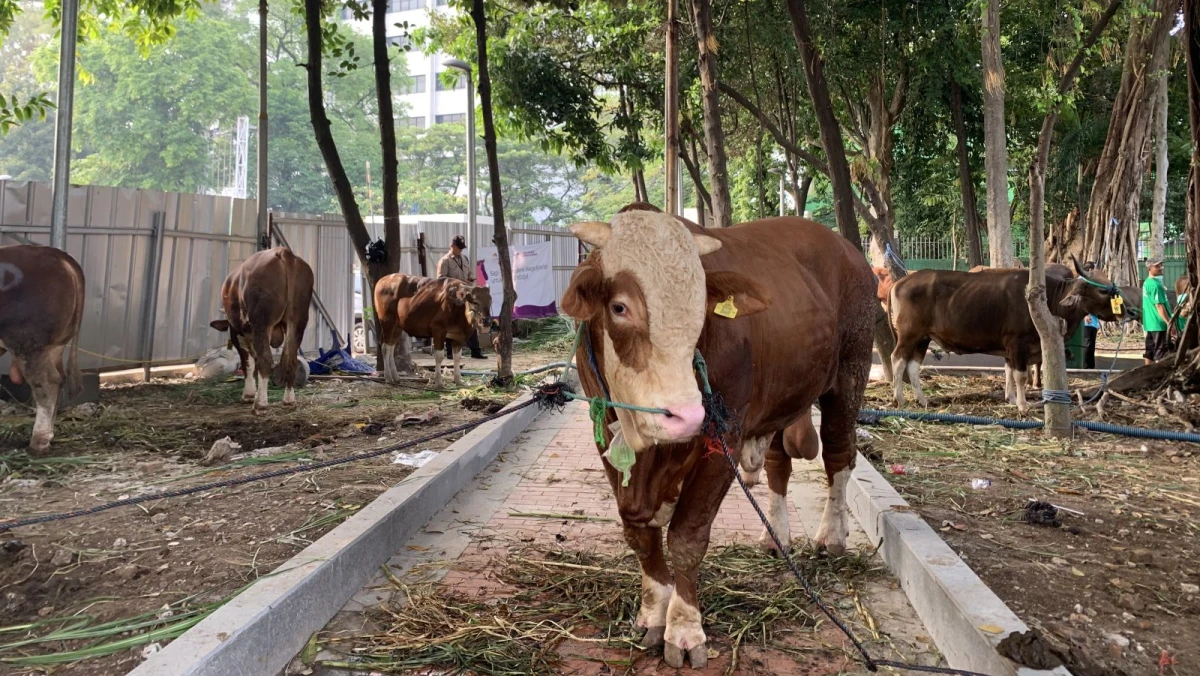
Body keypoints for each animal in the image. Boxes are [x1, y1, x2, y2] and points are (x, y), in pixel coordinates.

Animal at [0, 243, 85, 453]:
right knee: (59, 379)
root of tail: (54, 253)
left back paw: (38, 442)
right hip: (54, 346)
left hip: (27, 342)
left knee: (46, 383)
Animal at [210, 247, 314, 413]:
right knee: (290, 358)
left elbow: (248, 362)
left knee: (265, 360)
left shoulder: (238, 332)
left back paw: (260, 404)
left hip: (261, 321)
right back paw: (289, 401)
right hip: (298, 321)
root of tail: (283, 251)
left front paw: (248, 395)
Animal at [561, 204, 873, 667]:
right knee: (779, 463)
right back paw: (775, 536)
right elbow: (639, 533)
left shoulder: (725, 434)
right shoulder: (603, 429)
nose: (686, 415)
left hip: (850, 374)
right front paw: (653, 612)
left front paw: (684, 630)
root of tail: (846, 250)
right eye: (619, 307)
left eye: (700, 312)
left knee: (838, 456)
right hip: (782, 397)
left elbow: (687, 536)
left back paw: (831, 537)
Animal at [892, 258, 1123, 413]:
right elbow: (1020, 375)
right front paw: (1022, 404)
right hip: (909, 335)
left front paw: (1011, 398)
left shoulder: (1010, 348)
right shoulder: (1017, 342)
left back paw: (922, 400)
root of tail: (899, 283)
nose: (1126, 309)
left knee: (912, 366)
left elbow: (1009, 371)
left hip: (923, 338)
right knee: (898, 360)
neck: (1048, 298)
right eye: (1103, 291)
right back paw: (899, 399)